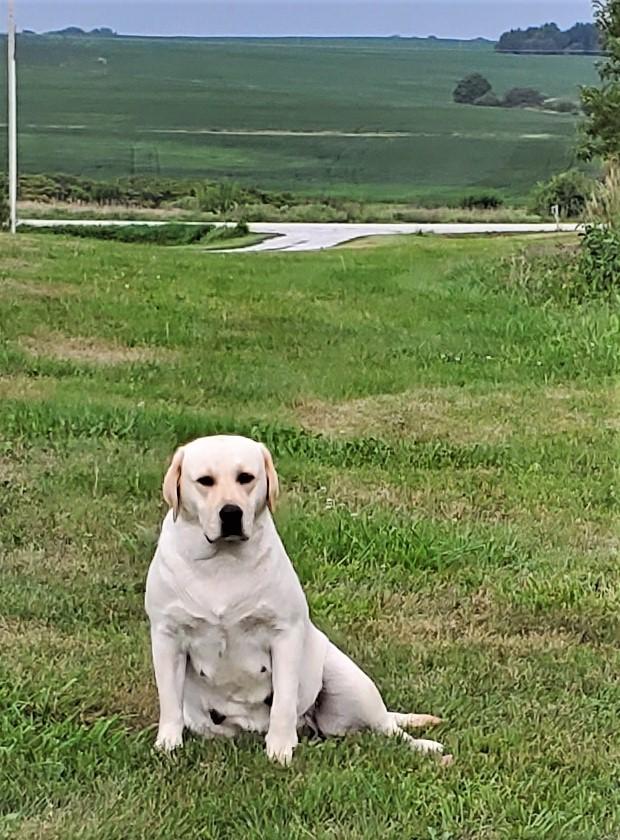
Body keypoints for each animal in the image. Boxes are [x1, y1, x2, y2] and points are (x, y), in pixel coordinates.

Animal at [145, 435, 445, 765]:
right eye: (204, 481)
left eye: (246, 478)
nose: (231, 513)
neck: (222, 563)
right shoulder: (167, 636)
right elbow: (169, 700)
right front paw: (168, 745)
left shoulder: (284, 634)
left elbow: (283, 702)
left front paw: (280, 749)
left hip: (350, 682)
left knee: (388, 728)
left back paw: (426, 748)